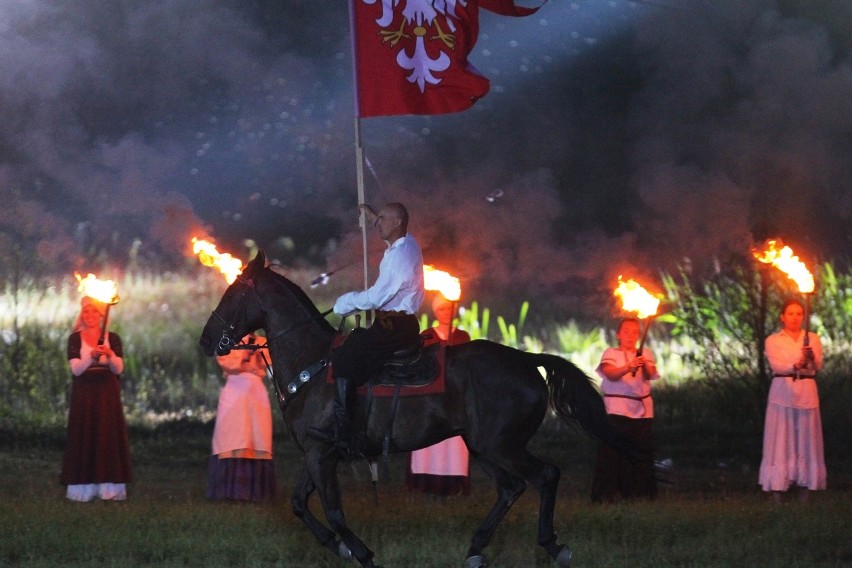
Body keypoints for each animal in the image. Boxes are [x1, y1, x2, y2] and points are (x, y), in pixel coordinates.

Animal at [201, 253, 624, 568]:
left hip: (501, 445)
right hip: (483, 447)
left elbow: (334, 512)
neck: (314, 363)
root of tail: (526, 359)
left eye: (233, 293)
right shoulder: (317, 453)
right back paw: (476, 548)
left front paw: (361, 553)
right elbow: (298, 504)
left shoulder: (321, 455)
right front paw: (340, 547)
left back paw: (553, 546)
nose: (206, 341)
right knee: (511, 487)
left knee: (546, 475)